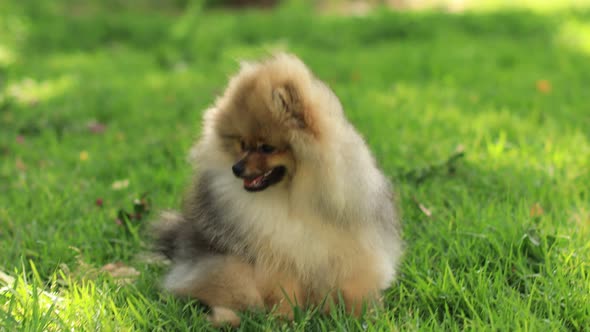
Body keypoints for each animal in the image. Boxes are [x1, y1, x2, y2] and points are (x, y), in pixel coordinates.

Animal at [153, 53, 404, 326]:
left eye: (266, 148)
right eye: (243, 144)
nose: (236, 168)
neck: (293, 198)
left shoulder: (344, 248)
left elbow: (351, 285)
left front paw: (363, 316)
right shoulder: (275, 258)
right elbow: (282, 291)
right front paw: (285, 319)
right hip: (225, 269)